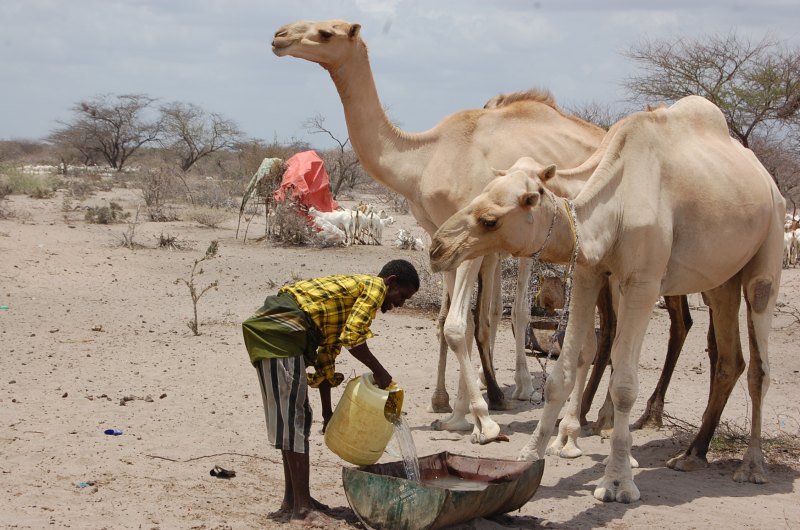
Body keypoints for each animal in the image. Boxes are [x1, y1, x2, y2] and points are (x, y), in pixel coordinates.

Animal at [271, 19, 604, 443]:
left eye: (327, 32)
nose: (280, 36)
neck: (423, 159)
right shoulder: (441, 238)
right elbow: (451, 322)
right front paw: (456, 412)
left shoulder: (475, 238)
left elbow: (461, 325)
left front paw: (483, 420)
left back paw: (564, 406)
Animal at [430, 95, 785, 502]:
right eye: (478, 196)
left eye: (490, 220)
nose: (438, 248)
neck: (615, 204)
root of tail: (768, 180)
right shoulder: (589, 272)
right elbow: (561, 375)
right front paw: (529, 455)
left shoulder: (642, 283)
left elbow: (626, 384)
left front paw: (617, 481)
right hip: (720, 279)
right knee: (730, 358)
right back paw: (692, 455)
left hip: (768, 252)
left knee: (759, 364)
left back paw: (751, 466)